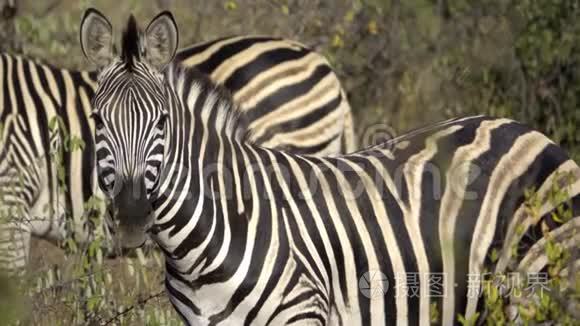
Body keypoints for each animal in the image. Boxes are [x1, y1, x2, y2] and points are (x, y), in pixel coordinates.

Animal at [82, 10, 580, 326]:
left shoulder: (303, 312)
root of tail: (523, 128)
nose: (131, 218)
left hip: (539, 286)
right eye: (97, 120)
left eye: (162, 122)